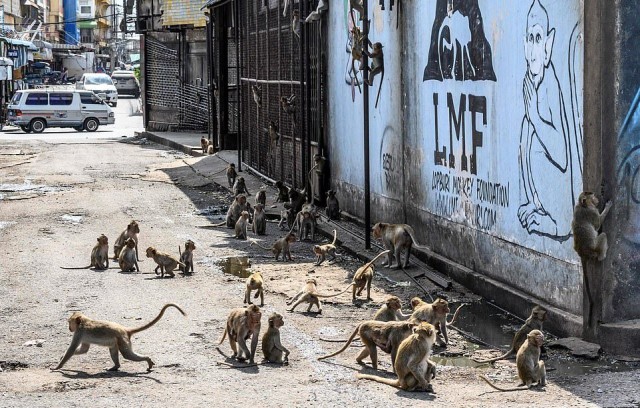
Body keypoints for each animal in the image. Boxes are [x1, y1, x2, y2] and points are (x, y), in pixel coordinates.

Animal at [52, 302, 185, 372]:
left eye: (69, 322)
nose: (69, 328)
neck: (84, 321)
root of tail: (125, 330)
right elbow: (84, 349)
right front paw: (61, 358)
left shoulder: (79, 332)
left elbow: (72, 349)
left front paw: (58, 366)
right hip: (119, 340)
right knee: (113, 349)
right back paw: (116, 366)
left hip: (122, 339)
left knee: (127, 355)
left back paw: (147, 360)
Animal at [572, 191, 612, 326]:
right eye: (592, 196)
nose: (597, 200)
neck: (583, 205)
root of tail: (582, 253)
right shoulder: (592, 212)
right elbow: (598, 224)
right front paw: (608, 207)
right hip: (594, 248)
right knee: (603, 235)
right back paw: (602, 256)